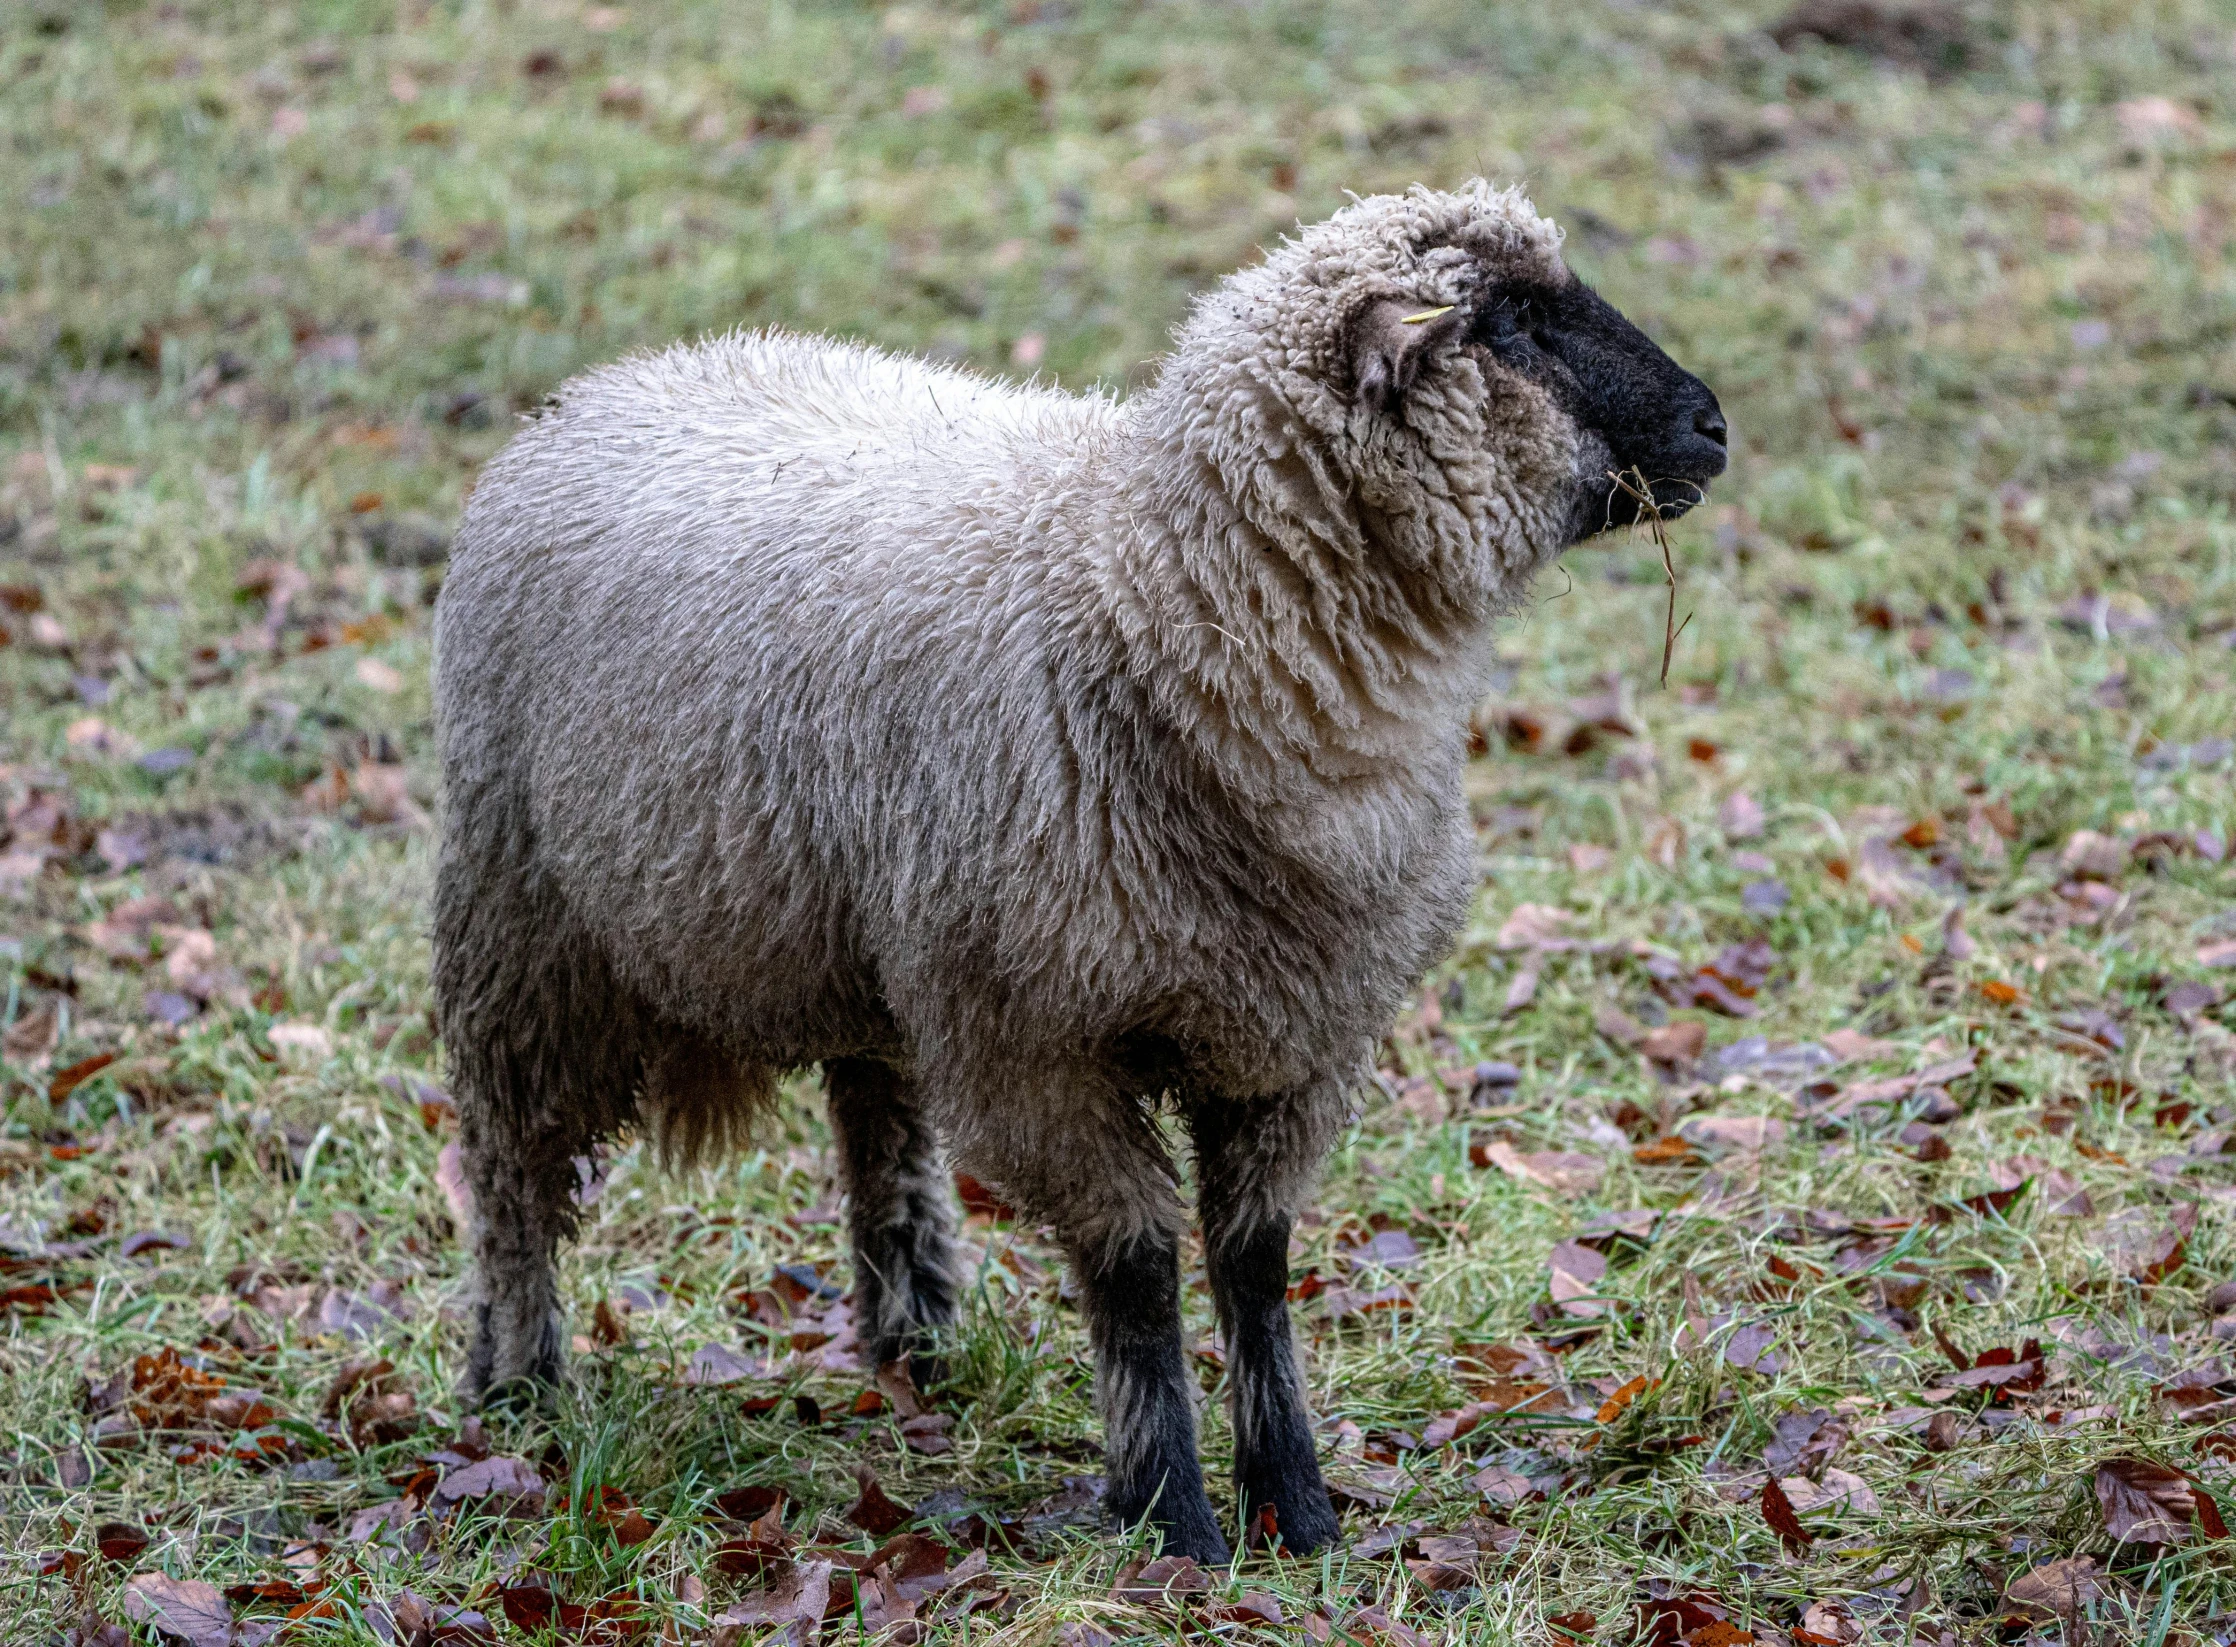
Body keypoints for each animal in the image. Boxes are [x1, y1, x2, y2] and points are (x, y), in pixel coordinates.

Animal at [436, 183, 1726, 1564]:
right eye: (1514, 324)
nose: (1714, 426)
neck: (1144, 588)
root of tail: (630, 372)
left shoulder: (1293, 1030)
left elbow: (1253, 1262)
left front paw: (1297, 1506)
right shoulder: (1039, 1041)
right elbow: (1136, 1266)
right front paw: (1175, 1515)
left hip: (873, 939)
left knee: (876, 1113)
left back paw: (915, 1338)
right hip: (522, 923)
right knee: (510, 1174)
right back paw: (518, 1386)